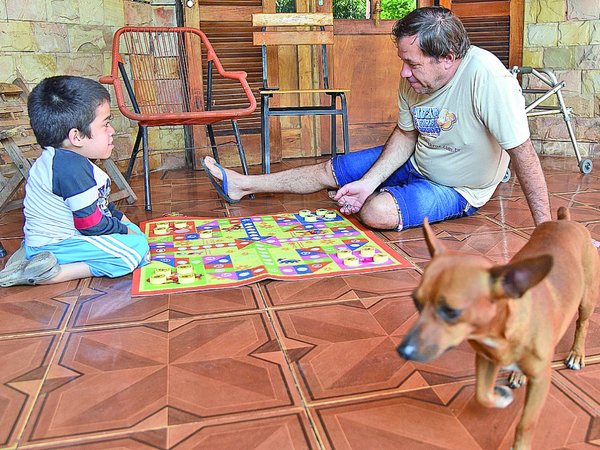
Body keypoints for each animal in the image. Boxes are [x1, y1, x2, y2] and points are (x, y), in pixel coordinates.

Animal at [396, 208, 596, 450]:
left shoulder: (540, 379)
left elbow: (526, 424)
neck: (500, 332)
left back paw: (576, 353)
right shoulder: (485, 358)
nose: (402, 351)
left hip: (587, 300)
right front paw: (500, 397)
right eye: (416, 302)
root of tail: (565, 220)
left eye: (451, 312)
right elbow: (482, 394)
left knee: (582, 324)